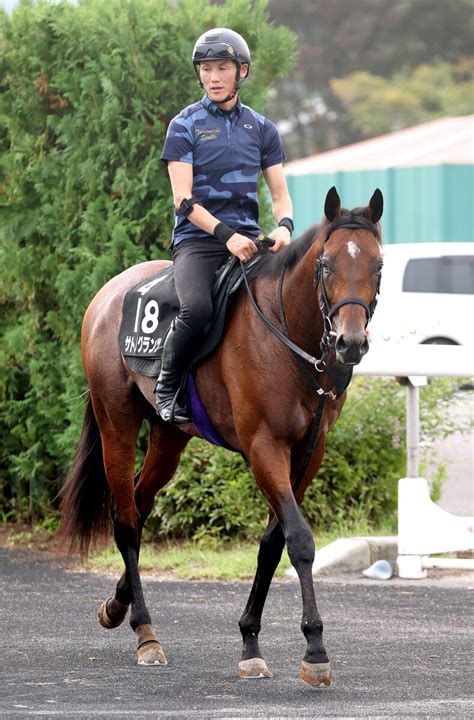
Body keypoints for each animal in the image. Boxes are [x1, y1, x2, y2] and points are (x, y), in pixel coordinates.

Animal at [60, 186, 386, 688]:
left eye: (378, 266)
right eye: (327, 265)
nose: (350, 343)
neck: (289, 338)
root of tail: (109, 293)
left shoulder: (308, 453)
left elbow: (272, 544)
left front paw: (250, 640)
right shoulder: (263, 446)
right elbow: (299, 540)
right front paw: (314, 649)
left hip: (168, 440)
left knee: (140, 503)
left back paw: (117, 605)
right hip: (117, 423)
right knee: (126, 519)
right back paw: (145, 632)